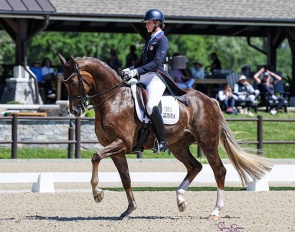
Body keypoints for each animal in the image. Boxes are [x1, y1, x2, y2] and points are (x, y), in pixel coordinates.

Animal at [58, 54, 272, 219]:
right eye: (64, 83)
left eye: (74, 81)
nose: (75, 110)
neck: (114, 101)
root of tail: (209, 100)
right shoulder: (117, 150)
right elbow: (125, 178)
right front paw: (129, 210)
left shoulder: (122, 144)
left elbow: (95, 157)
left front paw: (97, 194)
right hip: (178, 145)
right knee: (195, 167)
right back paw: (181, 200)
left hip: (207, 142)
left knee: (219, 170)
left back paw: (215, 211)